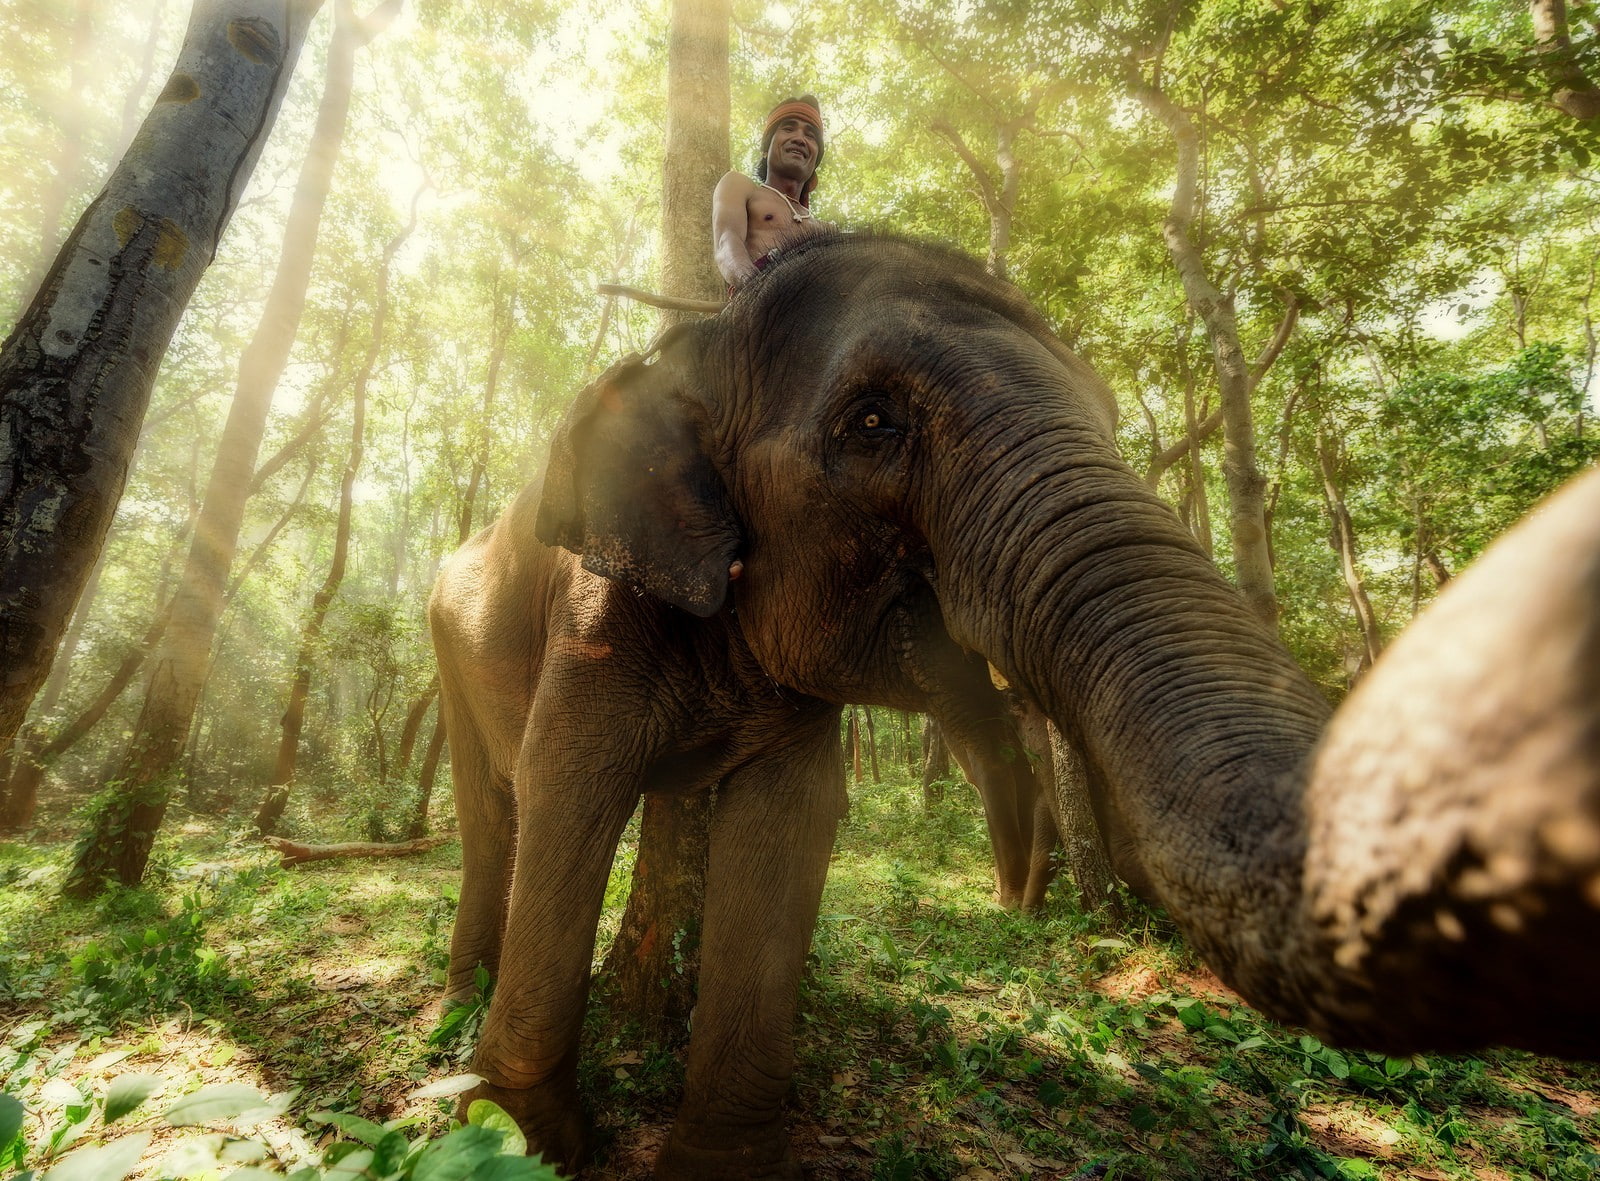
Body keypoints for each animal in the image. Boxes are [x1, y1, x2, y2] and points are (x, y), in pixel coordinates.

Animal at [429, 232, 1600, 1178]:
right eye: (872, 421)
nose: (1020, 883)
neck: (695, 343)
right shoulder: (595, 612)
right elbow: (572, 789)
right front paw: (530, 1140)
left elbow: (789, 824)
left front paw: (717, 1163)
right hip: (448, 645)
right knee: (496, 809)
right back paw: (459, 996)